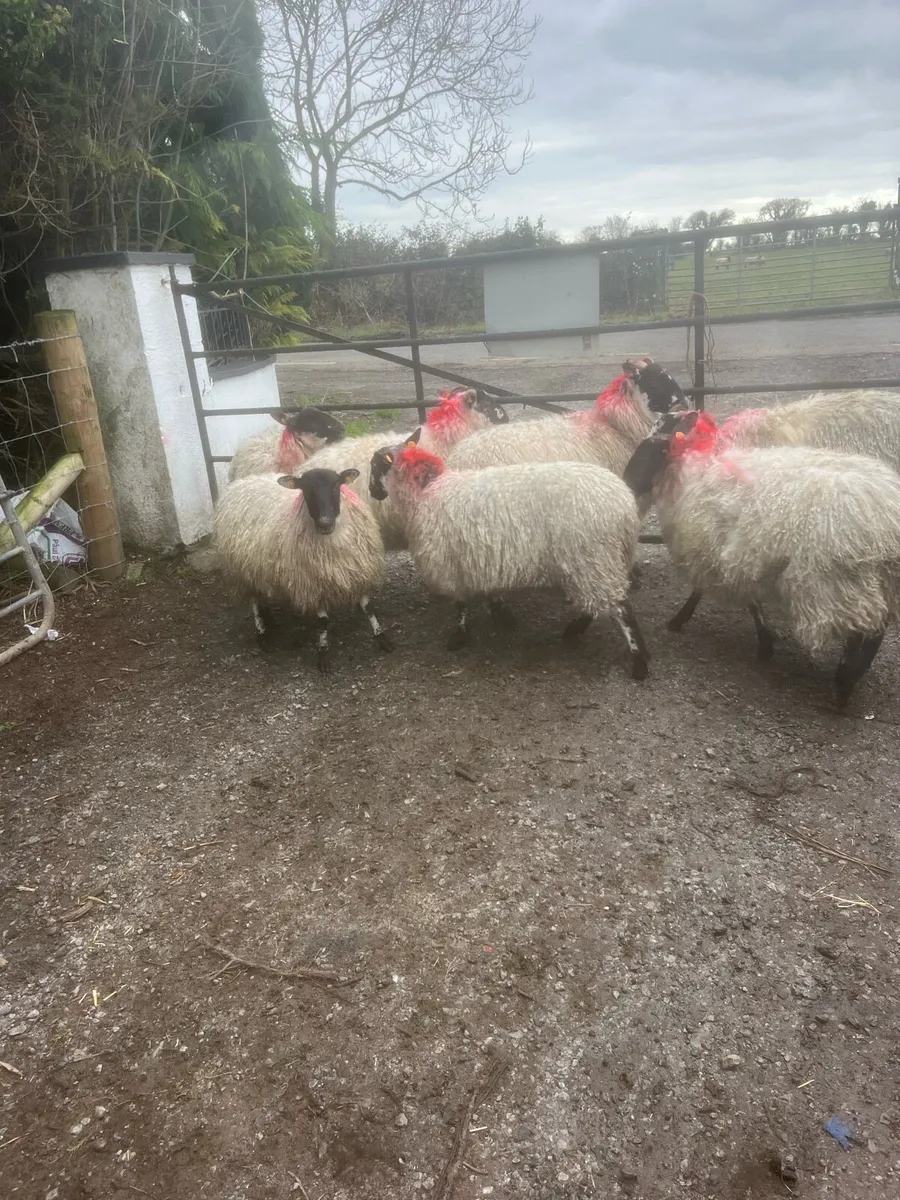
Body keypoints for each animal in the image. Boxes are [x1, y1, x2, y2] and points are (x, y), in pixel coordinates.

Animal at [214, 467, 391, 673]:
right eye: (306, 489)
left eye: (336, 485)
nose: (325, 523)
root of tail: (240, 483)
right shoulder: (314, 582)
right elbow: (323, 621)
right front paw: (323, 653)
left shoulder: (358, 570)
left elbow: (368, 608)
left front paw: (382, 638)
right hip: (241, 570)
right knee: (254, 602)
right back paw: (263, 634)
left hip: (257, 568)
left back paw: (269, 618)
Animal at [369, 434, 649, 679]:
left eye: (375, 466)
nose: (373, 493)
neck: (426, 491)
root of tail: (625, 506)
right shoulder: (480, 558)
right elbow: (488, 594)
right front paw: (501, 614)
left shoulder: (451, 561)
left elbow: (460, 604)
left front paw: (459, 636)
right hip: (593, 563)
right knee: (598, 603)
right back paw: (573, 631)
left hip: (593, 557)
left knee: (622, 610)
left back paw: (639, 664)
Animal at [623, 409, 900, 705]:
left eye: (648, 450)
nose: (628, 483)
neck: (692, 470)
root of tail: (887, 515)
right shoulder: (735, 554)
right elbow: (744, 598)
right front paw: (765, 643)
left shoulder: (717, 550)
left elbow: (727, 595)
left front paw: (681, 620)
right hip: (880, 582)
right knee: (875, 630)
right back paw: (851, 677)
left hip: (836, 583)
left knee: (862, 632)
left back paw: (844, 682)